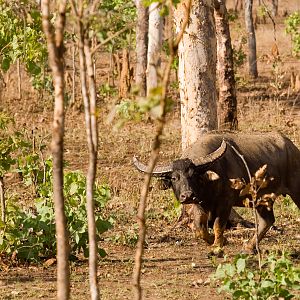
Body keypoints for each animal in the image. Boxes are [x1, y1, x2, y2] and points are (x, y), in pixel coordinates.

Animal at [134, 132, 300, 252]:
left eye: (193, 174)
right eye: (174, 178)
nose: (187, 195)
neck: (208, 185)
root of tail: (293, 149)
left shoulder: (225, 203)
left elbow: (218, 224)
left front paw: (217, 245)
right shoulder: (200, 203)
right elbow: (199, 227)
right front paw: (218, 240)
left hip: (295, 191)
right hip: (262, 199)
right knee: (267, 221)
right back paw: (248, 247)